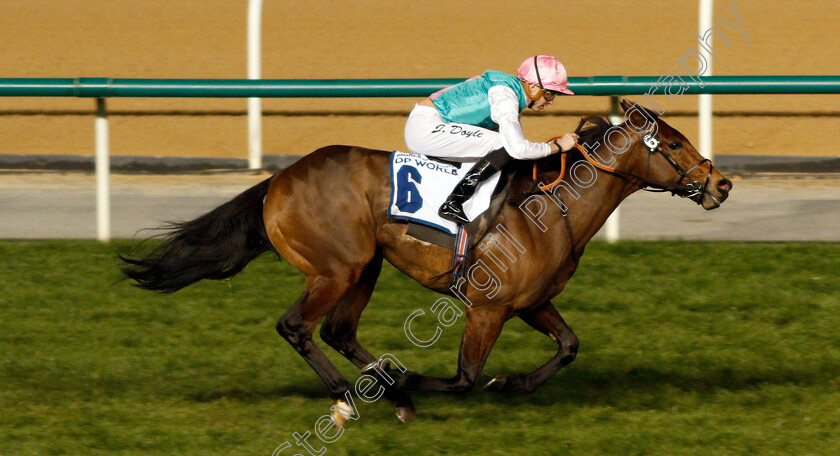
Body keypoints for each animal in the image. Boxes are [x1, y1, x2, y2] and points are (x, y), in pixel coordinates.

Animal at [121, 100, 732, 424]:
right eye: (673, 145)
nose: (721, 184)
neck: (552, 206)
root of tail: (278, 180)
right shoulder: (488, 309)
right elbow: (464, 378)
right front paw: (415, 379)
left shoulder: (530, 302)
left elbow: (568, 346)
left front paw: (512, 383)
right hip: (336, 268)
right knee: (297, 326)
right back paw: (354, 396)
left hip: (364, 266)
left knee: (339, 331)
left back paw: (385, 388)